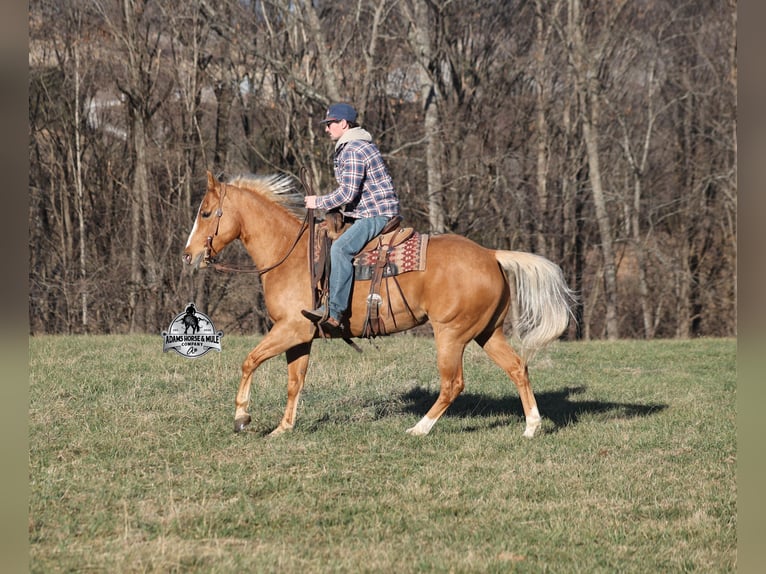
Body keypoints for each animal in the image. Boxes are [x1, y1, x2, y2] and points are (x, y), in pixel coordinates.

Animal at [183, 171, 576, 438]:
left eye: (206, 213)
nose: (188, 256)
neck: (290, 255)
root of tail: (492, 255)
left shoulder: (290, 329)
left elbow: (249, 361)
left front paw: (242, 417)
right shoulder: (300, 336)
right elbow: (295, 381)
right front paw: (283, 428)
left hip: (451, 334)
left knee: (453, 383)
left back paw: (419, 429)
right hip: (487, 333)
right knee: (518, 368)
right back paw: (532, 426)